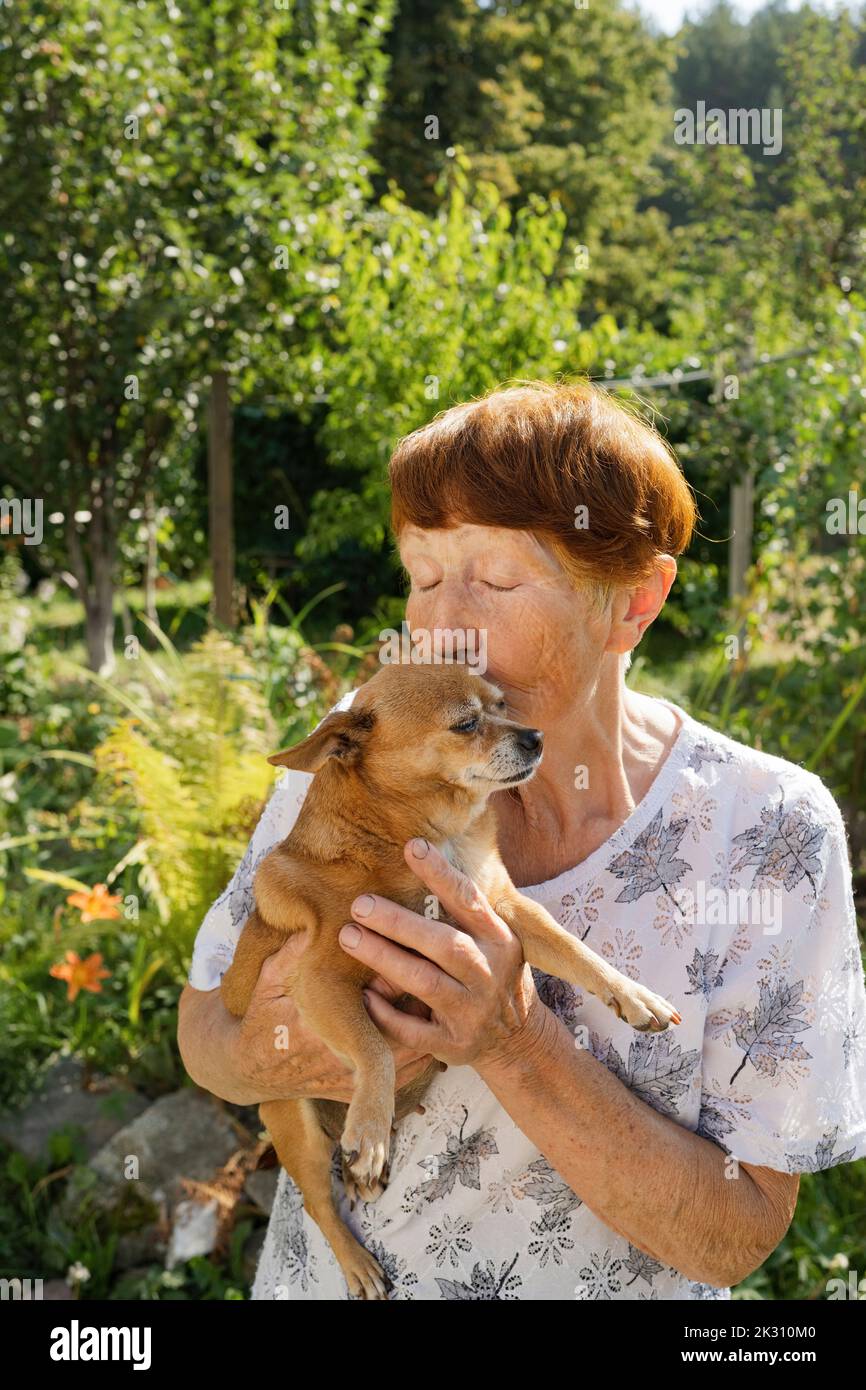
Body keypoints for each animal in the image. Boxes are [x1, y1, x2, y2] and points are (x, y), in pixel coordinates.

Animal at [223, 658, 683, 1289]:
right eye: (466, 723)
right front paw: (369, 1128)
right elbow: (375, 1049)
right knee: (319, 1202)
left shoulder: (507, 913)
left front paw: (633, 994)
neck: (429, 836)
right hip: (292, 1122)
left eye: (503, 705)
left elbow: (573, 949)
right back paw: (358, 1253)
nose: (536, 736)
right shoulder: (319, 980)